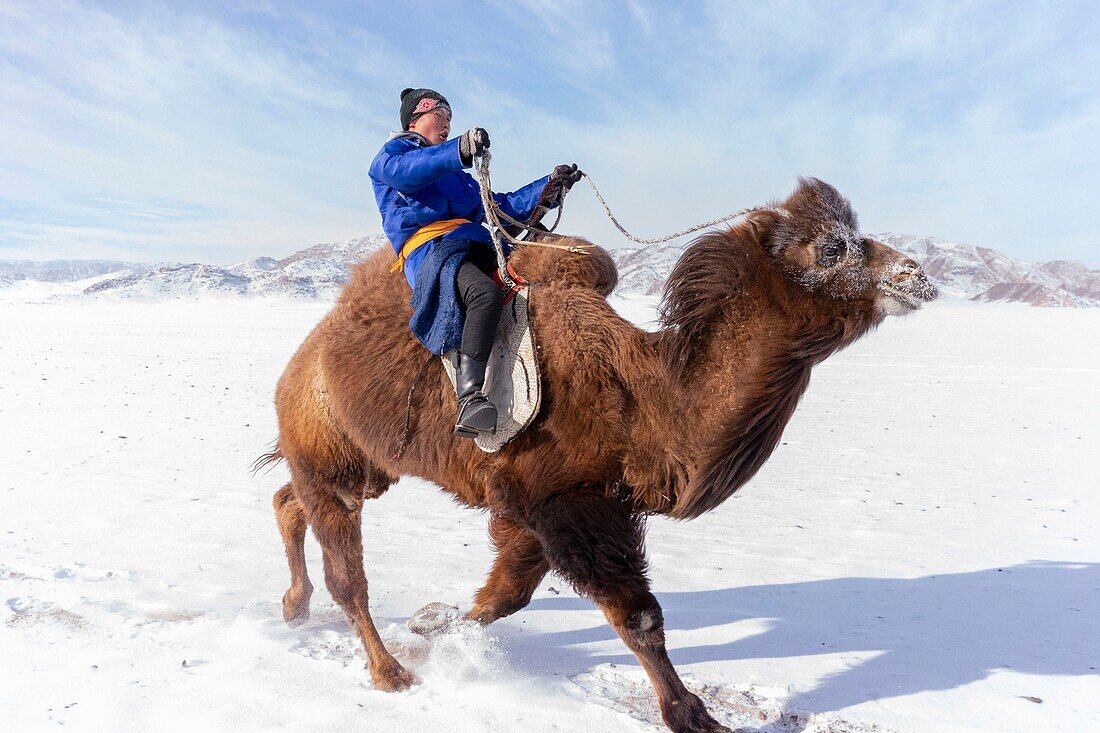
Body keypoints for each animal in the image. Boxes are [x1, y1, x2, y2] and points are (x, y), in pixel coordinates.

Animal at [259, 178, 937, 730]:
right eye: (831, 249)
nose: (917, 275)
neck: (641, 396)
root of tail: (301, 361)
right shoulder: (570, 503)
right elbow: (639, 617)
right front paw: (693, 715)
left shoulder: (534, 509)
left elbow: (505, 595)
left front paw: (435, 628)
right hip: (328, 451)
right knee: (345, 569)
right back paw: (387, 672)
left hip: (365, 462)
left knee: (290, 499)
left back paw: (296, 608)